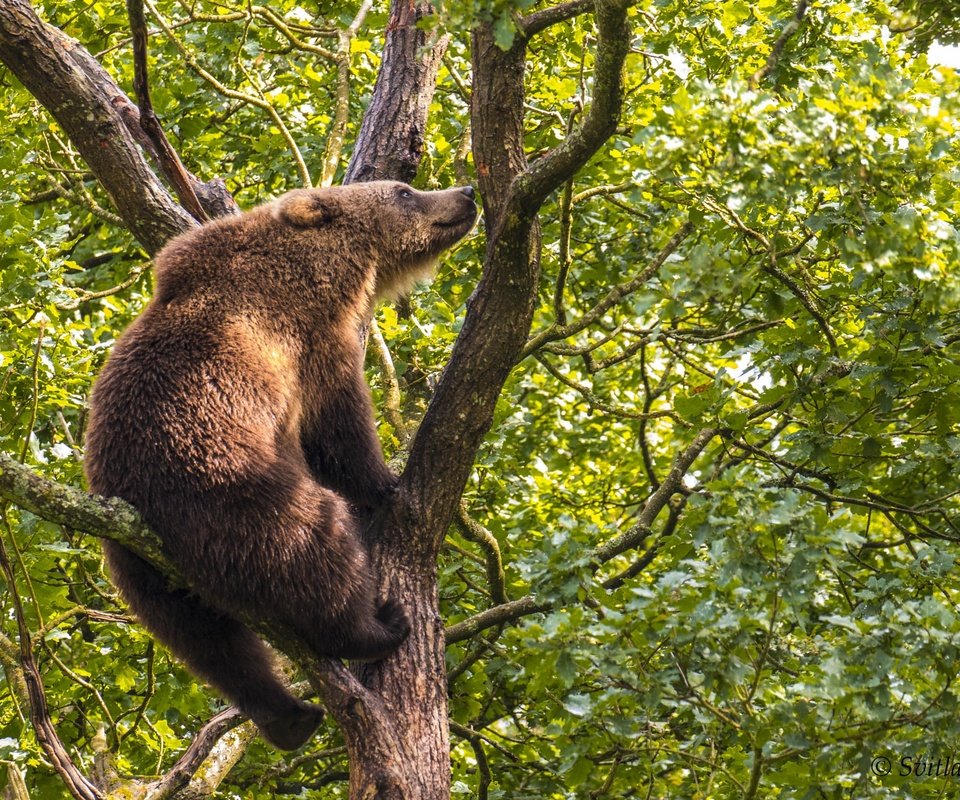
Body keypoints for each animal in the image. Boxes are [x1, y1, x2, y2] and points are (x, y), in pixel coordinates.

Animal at [86, 180, 480, 752]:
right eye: (404, 191)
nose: (466, 191)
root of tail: (145, 504)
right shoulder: (312, 339)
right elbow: (337, 425)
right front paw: (385, 483)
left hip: (138, 566)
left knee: (208, 641)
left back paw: (290, 717)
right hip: (237, 489)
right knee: (314, 548)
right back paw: (377, 626)